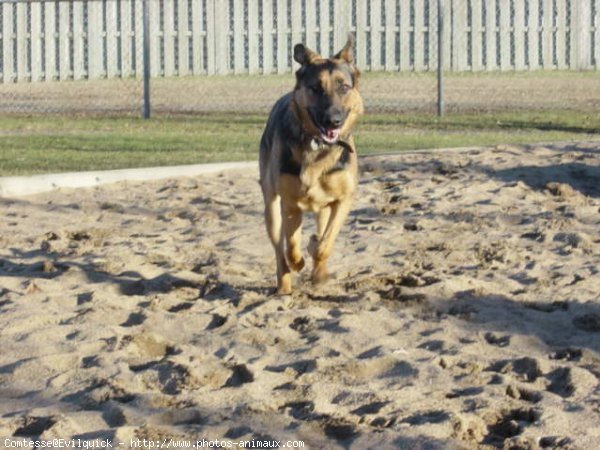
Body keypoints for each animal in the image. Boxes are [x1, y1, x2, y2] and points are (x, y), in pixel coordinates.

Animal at [258, 36, 364, 296]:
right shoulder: (289, 204)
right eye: (315, 88)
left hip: (323, 208)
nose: (333, 120)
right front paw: (298, 261)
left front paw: (316, 250)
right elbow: (291, 245)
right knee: (280, 252)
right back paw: (285, 284)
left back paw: (319, 273)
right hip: (271, 208)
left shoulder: (343, 200)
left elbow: (325, 243)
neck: (318, 145)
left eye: (343, 87)